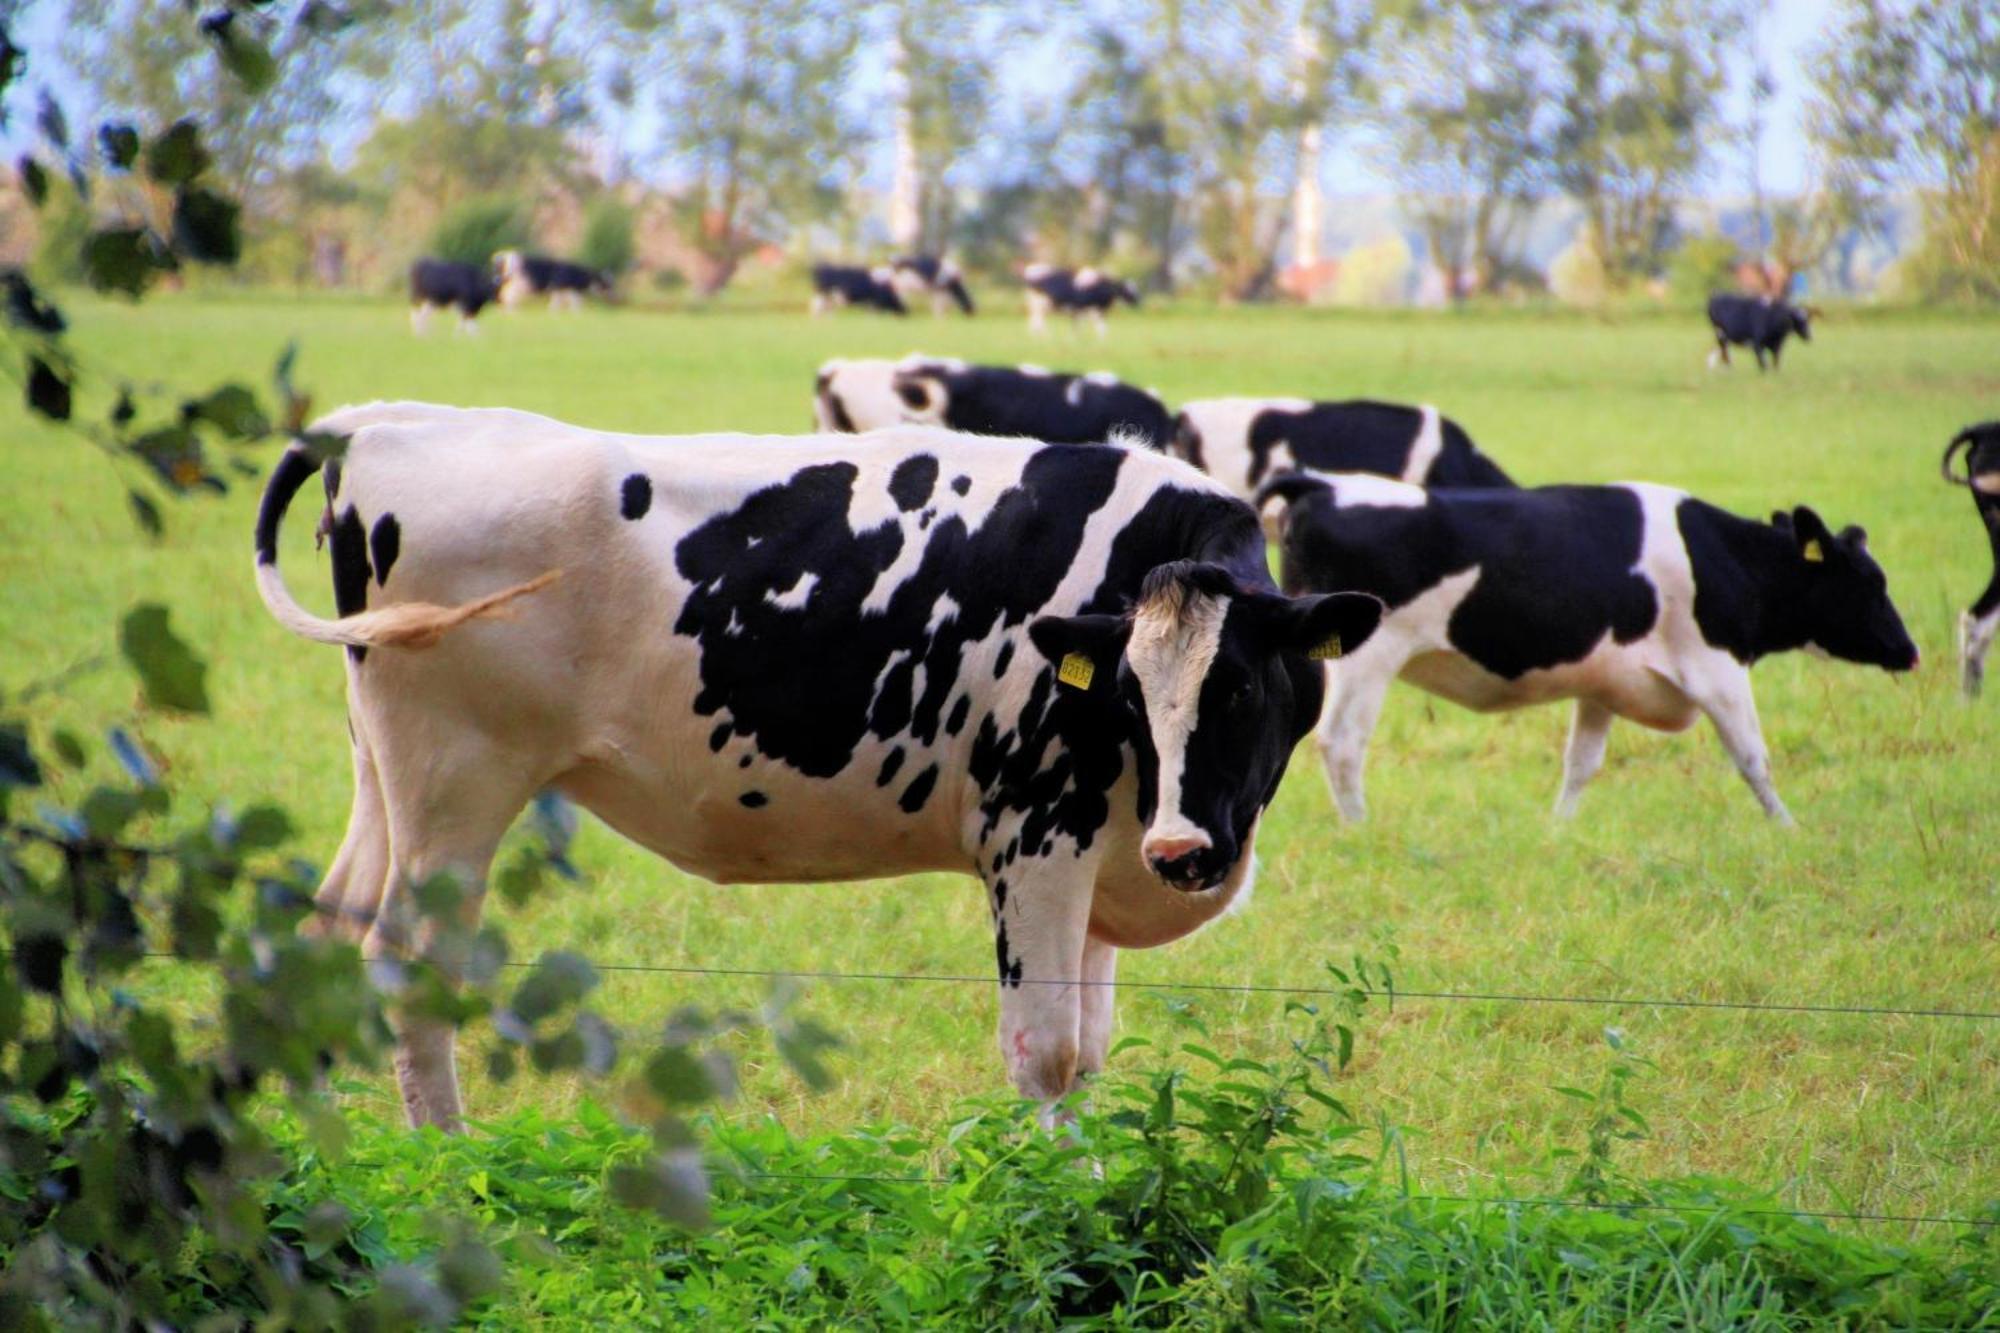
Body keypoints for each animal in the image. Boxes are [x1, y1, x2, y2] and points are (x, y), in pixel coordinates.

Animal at [250, 402, 1384, 1120]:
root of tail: (391, 426)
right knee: (406, 968)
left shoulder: (1108, 852)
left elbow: (1094, 1052)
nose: (1184, 850)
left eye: (1238, 688)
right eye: (1130, 695)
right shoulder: (1035, 836)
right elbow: (1049, 1055)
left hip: (382, 770)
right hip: (456, 782)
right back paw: (446, 1158)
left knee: (326, 928)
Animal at [1256, 466, 1912, 820]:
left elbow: (1581, 763)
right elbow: (1753, 757)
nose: (1911, 651)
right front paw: (1787, 827)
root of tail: (1322, 482)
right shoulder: (1717, 668)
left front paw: (1558, 827)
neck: (1724, 558)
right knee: (1343, 743)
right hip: (1367, 657)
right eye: (1870, 582)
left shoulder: (1605, 684)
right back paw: (1358, 825)